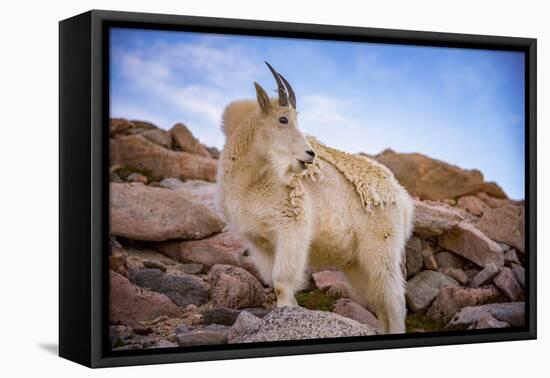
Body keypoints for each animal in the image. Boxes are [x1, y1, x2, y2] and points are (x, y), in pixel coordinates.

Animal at [216, 62, 414, 334]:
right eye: (283, 119)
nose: (309, 154)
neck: (252, 180)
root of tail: (402, 199)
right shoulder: (260, 243)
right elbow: (277, 284)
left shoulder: (291, 229)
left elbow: (282, 283)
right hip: (356, 263)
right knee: (379, 302)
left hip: (381, 250)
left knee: (394, 300)